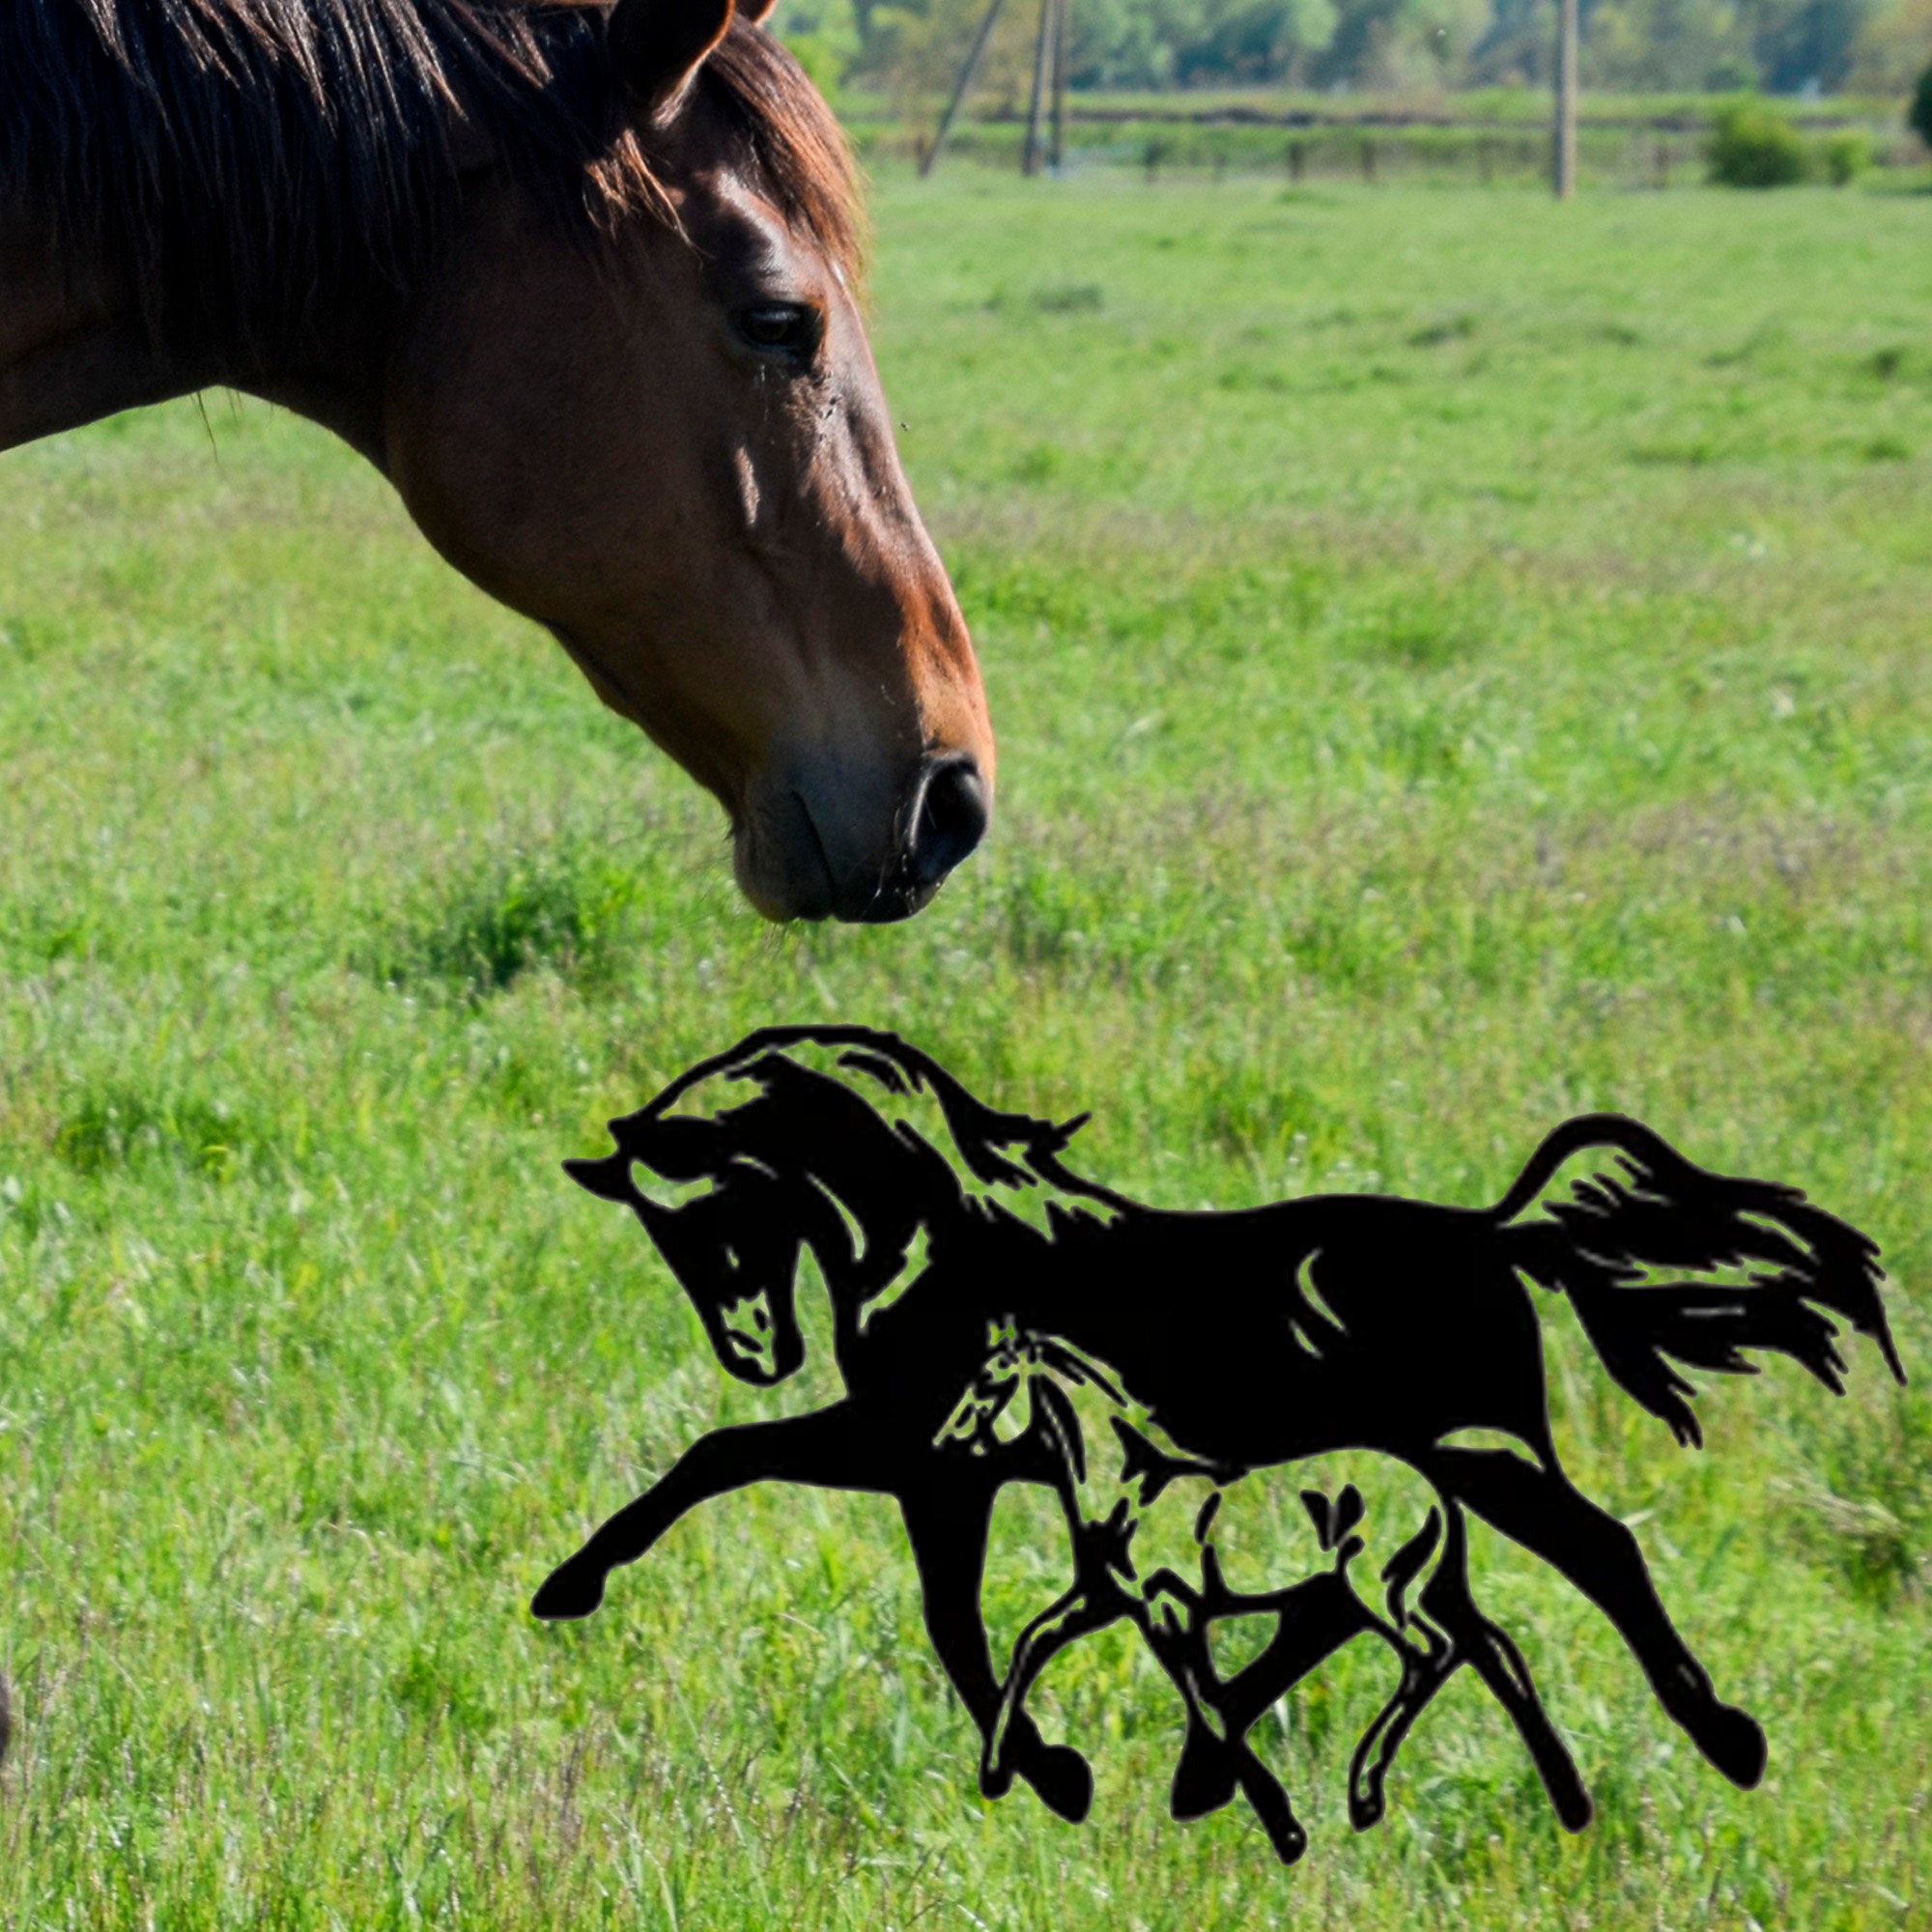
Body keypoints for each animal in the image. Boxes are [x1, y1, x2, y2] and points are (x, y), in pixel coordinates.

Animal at [532, 1024, 1901, 1840]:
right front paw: (1057, 1768)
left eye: (718, 1212)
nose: (753, 1350)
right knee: (1344, 1611)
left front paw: (565, 1587)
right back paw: (1213, 1766)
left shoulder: (916, 1449)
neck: (939, 1242)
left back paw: (1725, 1739)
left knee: (1597, 1550)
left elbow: (735, 1465)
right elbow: (949, 1613)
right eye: (661, 1233)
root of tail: (1491, 1231)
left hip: (1477, 1454)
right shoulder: (941, 1470)